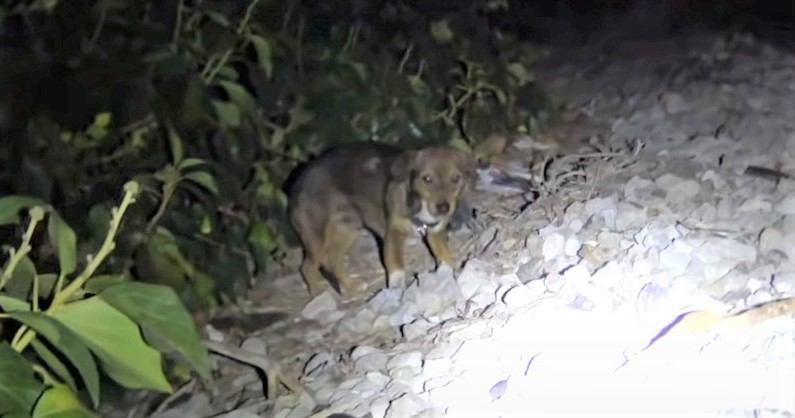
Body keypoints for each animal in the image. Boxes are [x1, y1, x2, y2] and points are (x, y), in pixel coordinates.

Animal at [290, 144, 472, 298]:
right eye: (427, 179)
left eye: (456, 179)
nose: (444, 208)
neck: (419, 209)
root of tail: (301, 178)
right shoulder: (393, 236)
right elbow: (397, 269)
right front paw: (396, 291)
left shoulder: (435, 234)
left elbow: (445, 258)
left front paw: (452, 272)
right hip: (316, 237)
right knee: (308, 268)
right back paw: (316, 296)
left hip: (348, 230)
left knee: (335, 258)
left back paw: (351, 286)